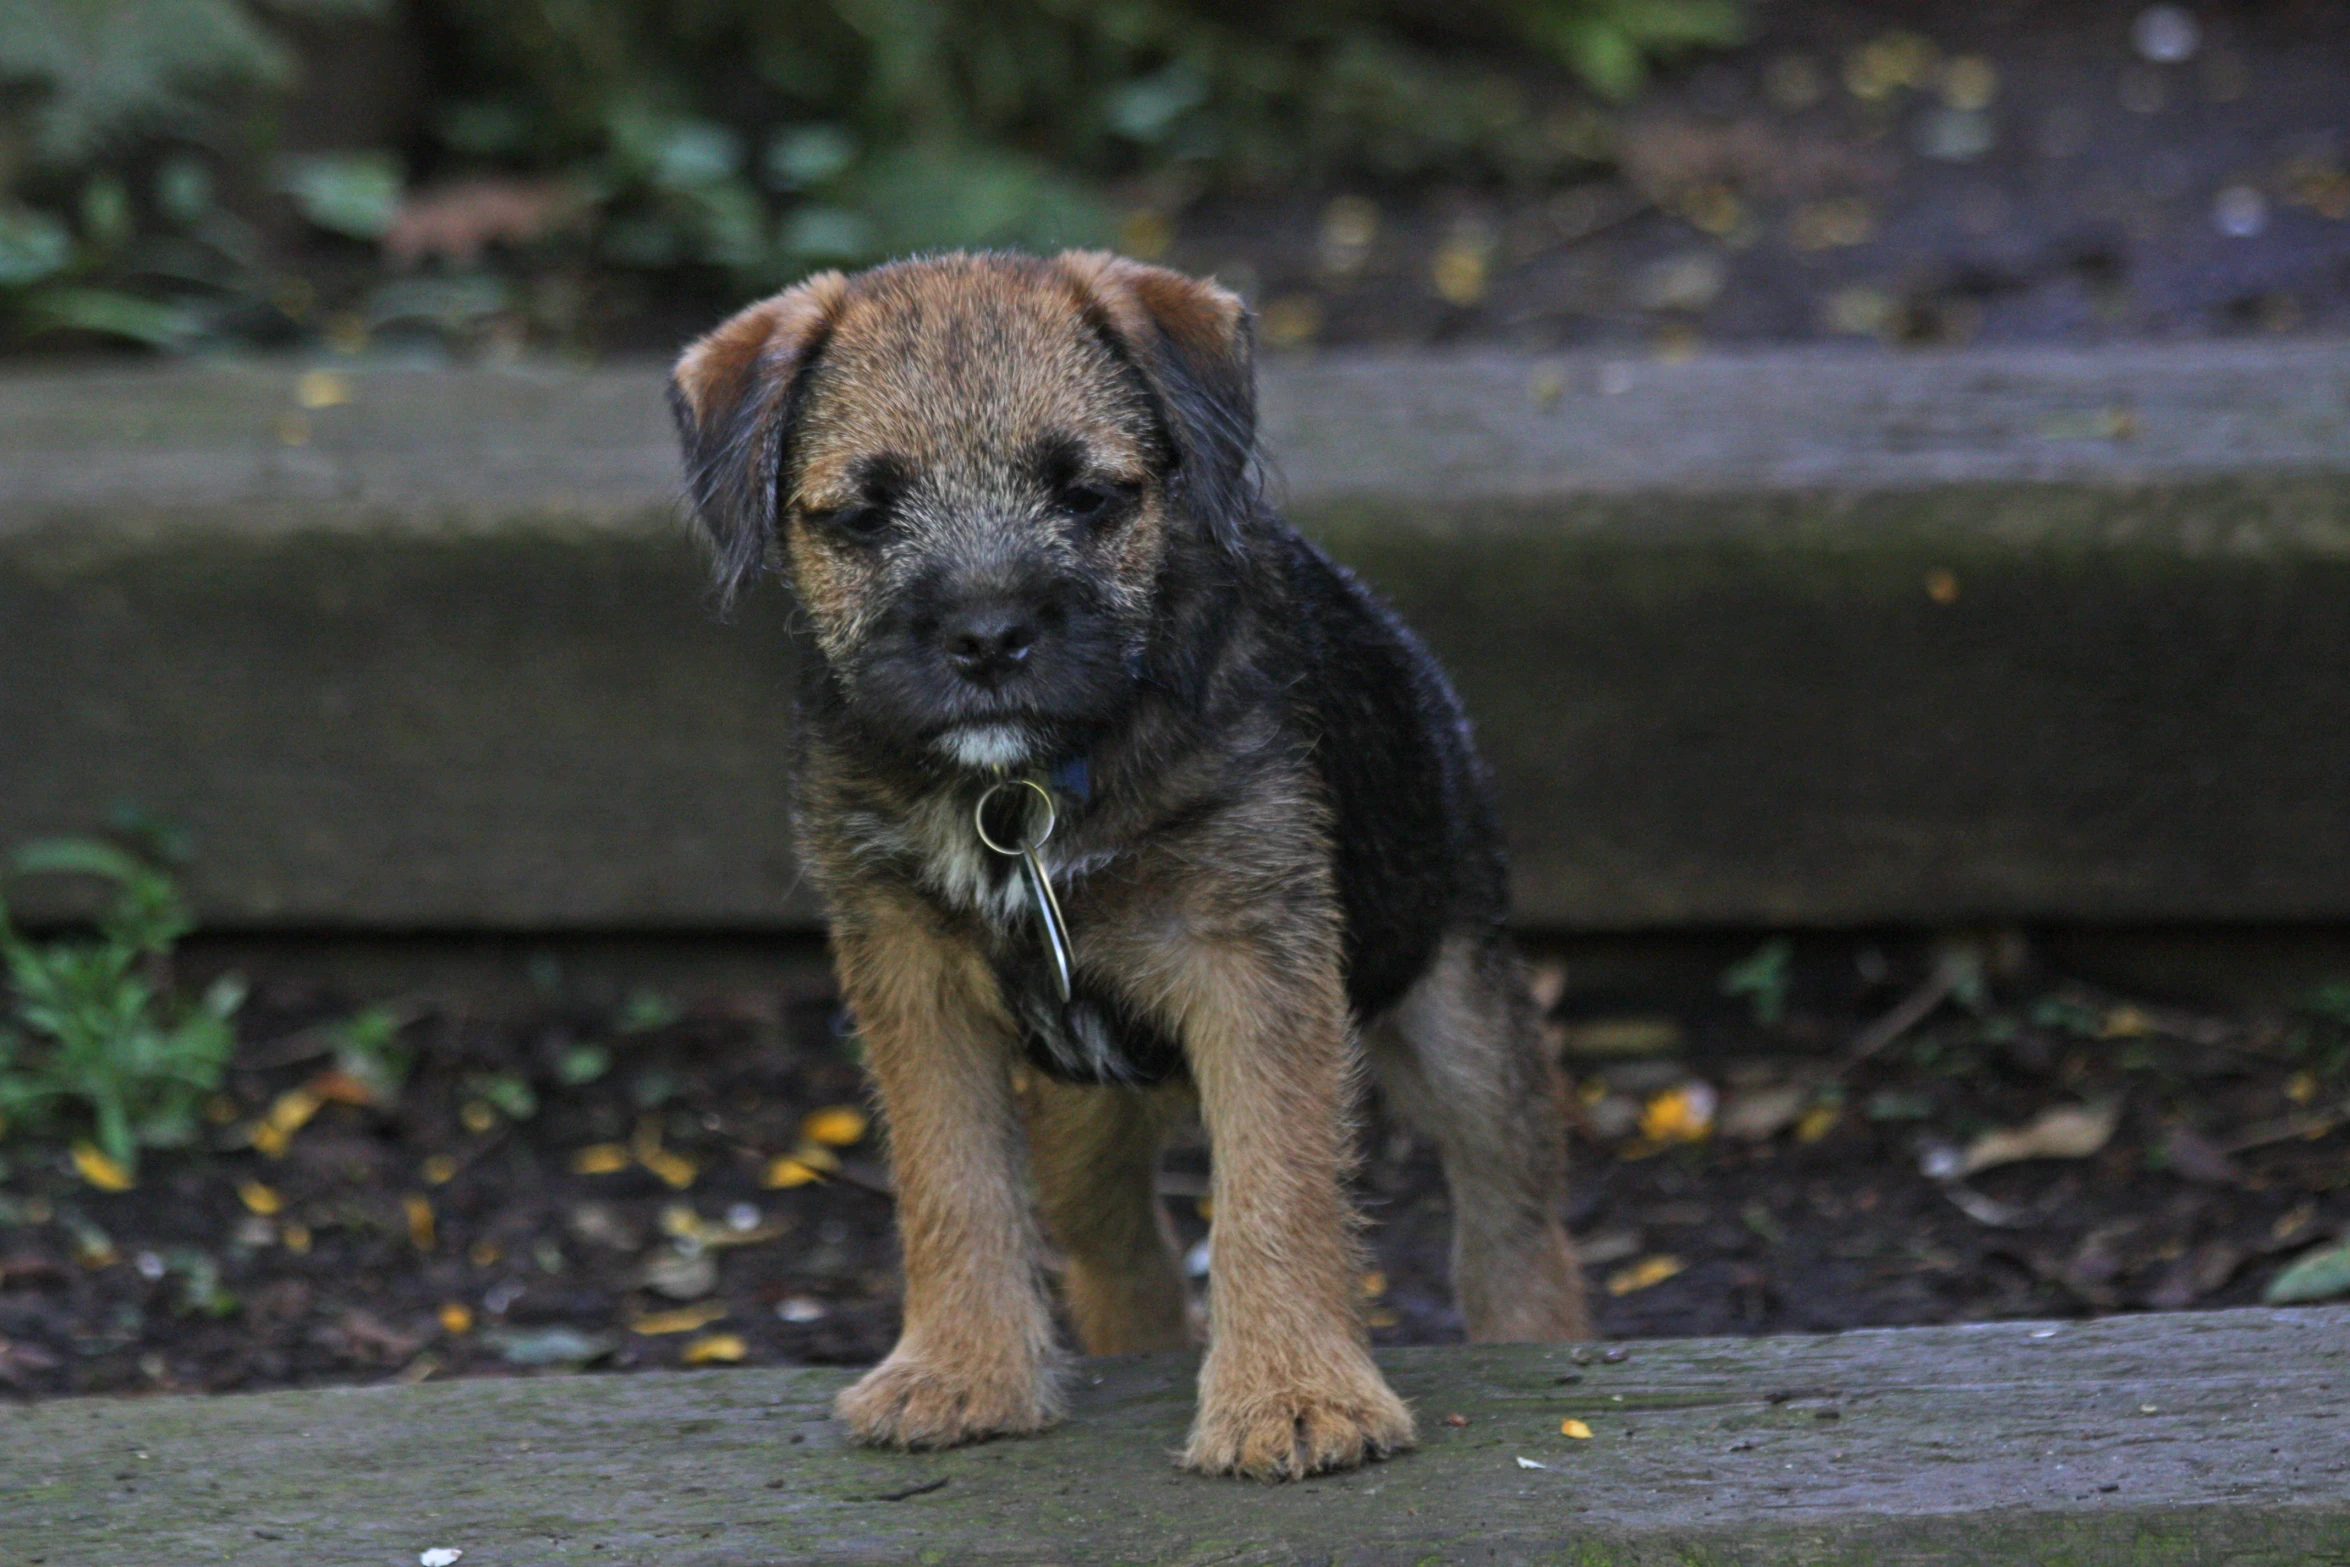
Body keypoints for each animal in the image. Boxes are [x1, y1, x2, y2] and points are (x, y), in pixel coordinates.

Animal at [667, 247, 1579, 1484]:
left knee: (1509, 1219)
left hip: (1459, 1010)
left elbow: (1275, 1185)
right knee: (1119, 1252)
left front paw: (1292, 1397)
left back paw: (1533, 1342)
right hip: (1083, 1114)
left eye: (1089, 495)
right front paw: (958, 1372)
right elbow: (947, 1179)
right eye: (863, 513)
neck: (1024, 793)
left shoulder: (1255, 963)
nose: (989, 635)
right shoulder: (906, 975)